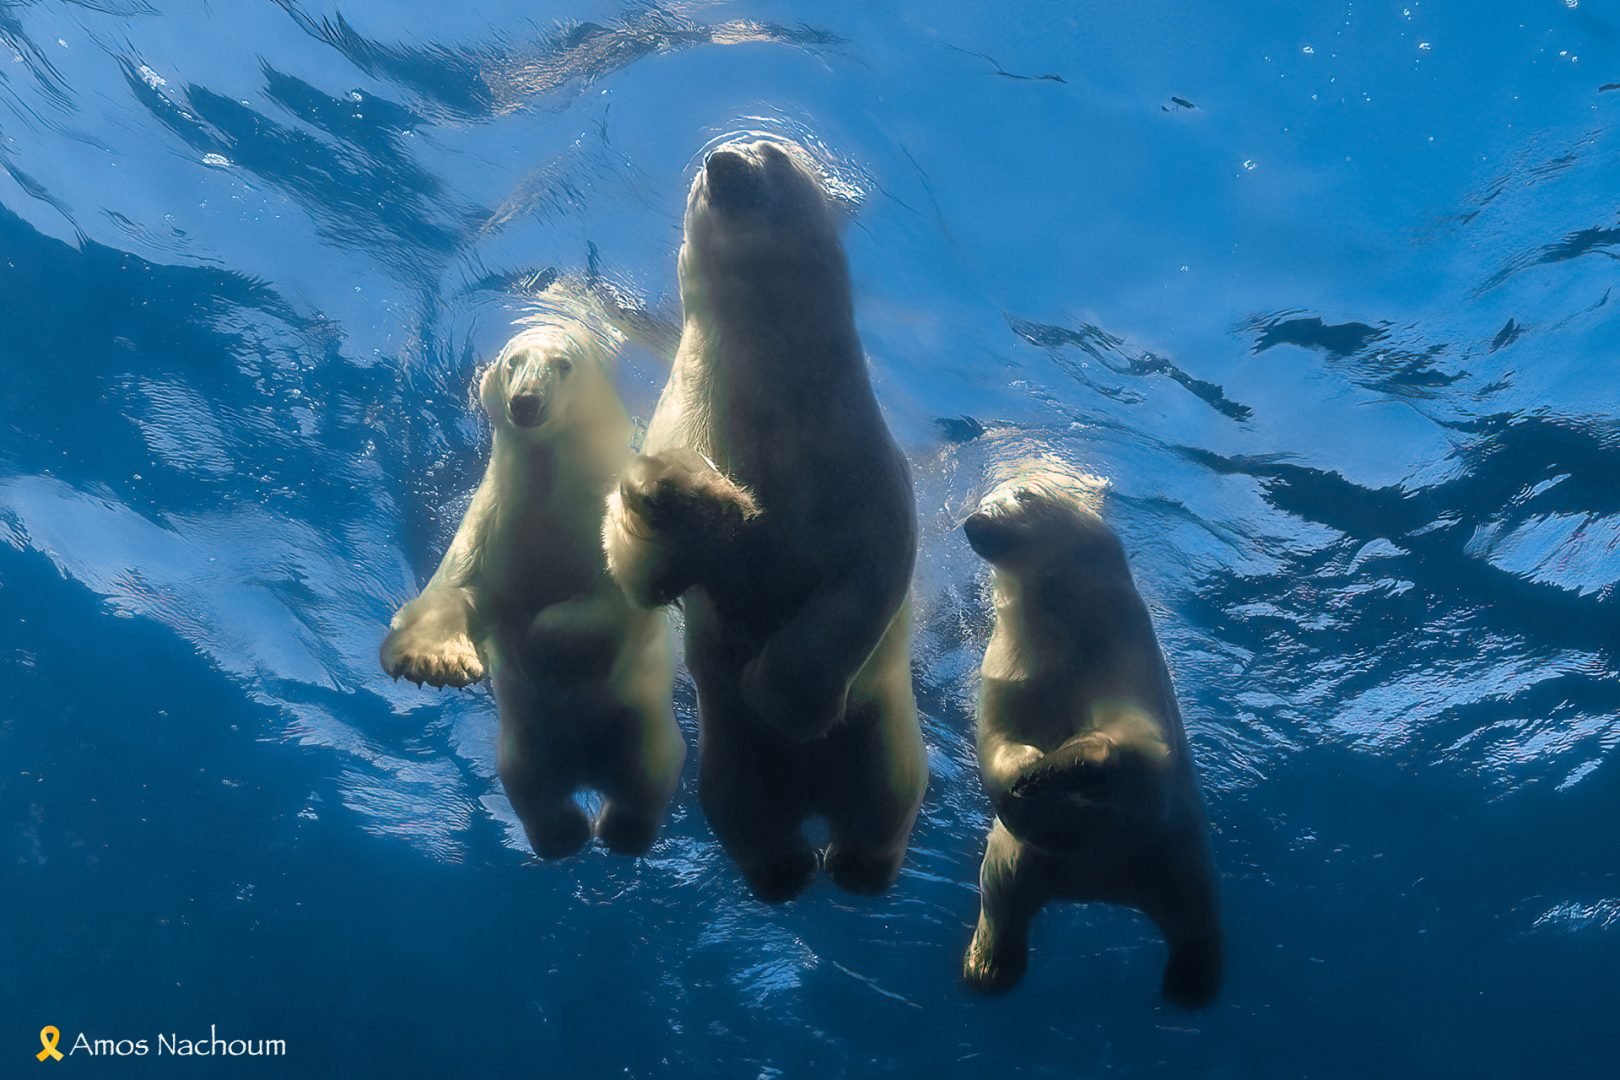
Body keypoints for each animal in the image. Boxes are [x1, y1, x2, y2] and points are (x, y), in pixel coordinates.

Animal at [380, 320, 683, 861]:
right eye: (512, 362)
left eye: (563, 364)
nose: (524, 402)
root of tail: (585, 769)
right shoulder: (496, 519)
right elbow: (458, 589)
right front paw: (436, 661)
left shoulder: (606, 522)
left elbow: (609, 604)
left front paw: (539, 641)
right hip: (524, 751)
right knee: (536, 794)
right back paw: (566, 835)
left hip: (641, 734)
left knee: (644, 785)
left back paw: (617, 832)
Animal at [602, 143, 933, 906]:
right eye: (702, 165)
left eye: (774, 152)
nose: (723, 162)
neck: (775, 416)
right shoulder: (686, 419)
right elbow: (645, 573)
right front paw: (683, 499)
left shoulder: (860, 467)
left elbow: (867, 578)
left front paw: (779, 695)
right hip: (727, 758)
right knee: (743, 810)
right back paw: (786, 867)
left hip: (883, 735)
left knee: (885, 799)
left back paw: (850, 862)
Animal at [952, 469, 1218, 1010]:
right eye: (986, 494)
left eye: (1024, 495)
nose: (975, 521)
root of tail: (1098, 885)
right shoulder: (1009, 667)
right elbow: (998, 739)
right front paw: (1027, 773)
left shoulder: (1121, 656)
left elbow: (1135, 737)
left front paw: (1056, 766)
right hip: (1017, 861)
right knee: (1001, 903)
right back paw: (986, 966)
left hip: (1176, 853)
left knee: (1195, 916)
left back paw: (1190, 983)